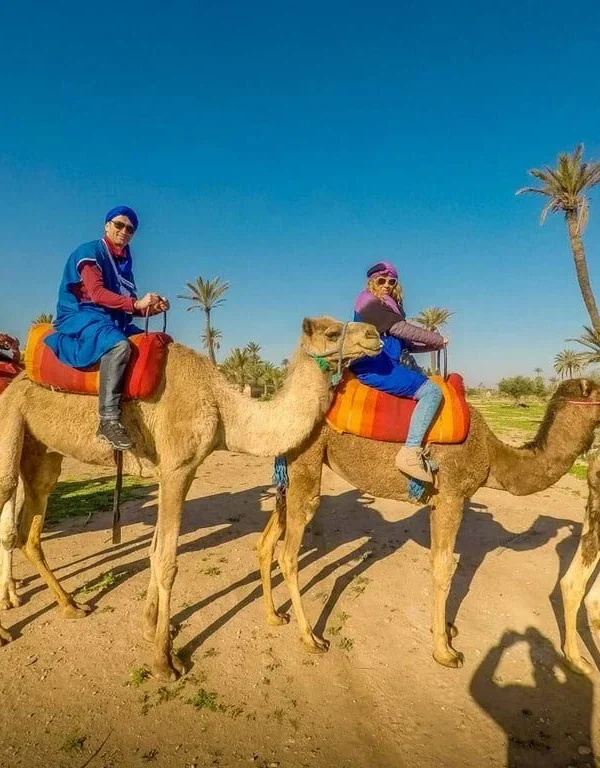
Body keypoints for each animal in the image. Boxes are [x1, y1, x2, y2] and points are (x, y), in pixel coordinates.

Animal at [0, 316, 382, 680]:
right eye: (332, 333)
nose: (374, 335)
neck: (222, 407)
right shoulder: (177, 468)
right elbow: (167, 561)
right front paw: (165, 662)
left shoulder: (179, 471)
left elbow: (155, 551)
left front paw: (151, 627)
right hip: (10, 422)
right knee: (8, 498)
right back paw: (7, 626)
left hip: (42, 449)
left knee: (30, 525)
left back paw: (71, 605)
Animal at [257, 377, 600, 669]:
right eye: (597, 390)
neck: (491, 455)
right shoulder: (451, 496)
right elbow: (443, 569)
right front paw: (445, 652)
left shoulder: (439, 501)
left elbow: (440, 565)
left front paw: (446, 631)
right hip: (307, 461)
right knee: (289, 552)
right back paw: (311, 639)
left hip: (289, 474)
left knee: (266, 541)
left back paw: (274, 616)